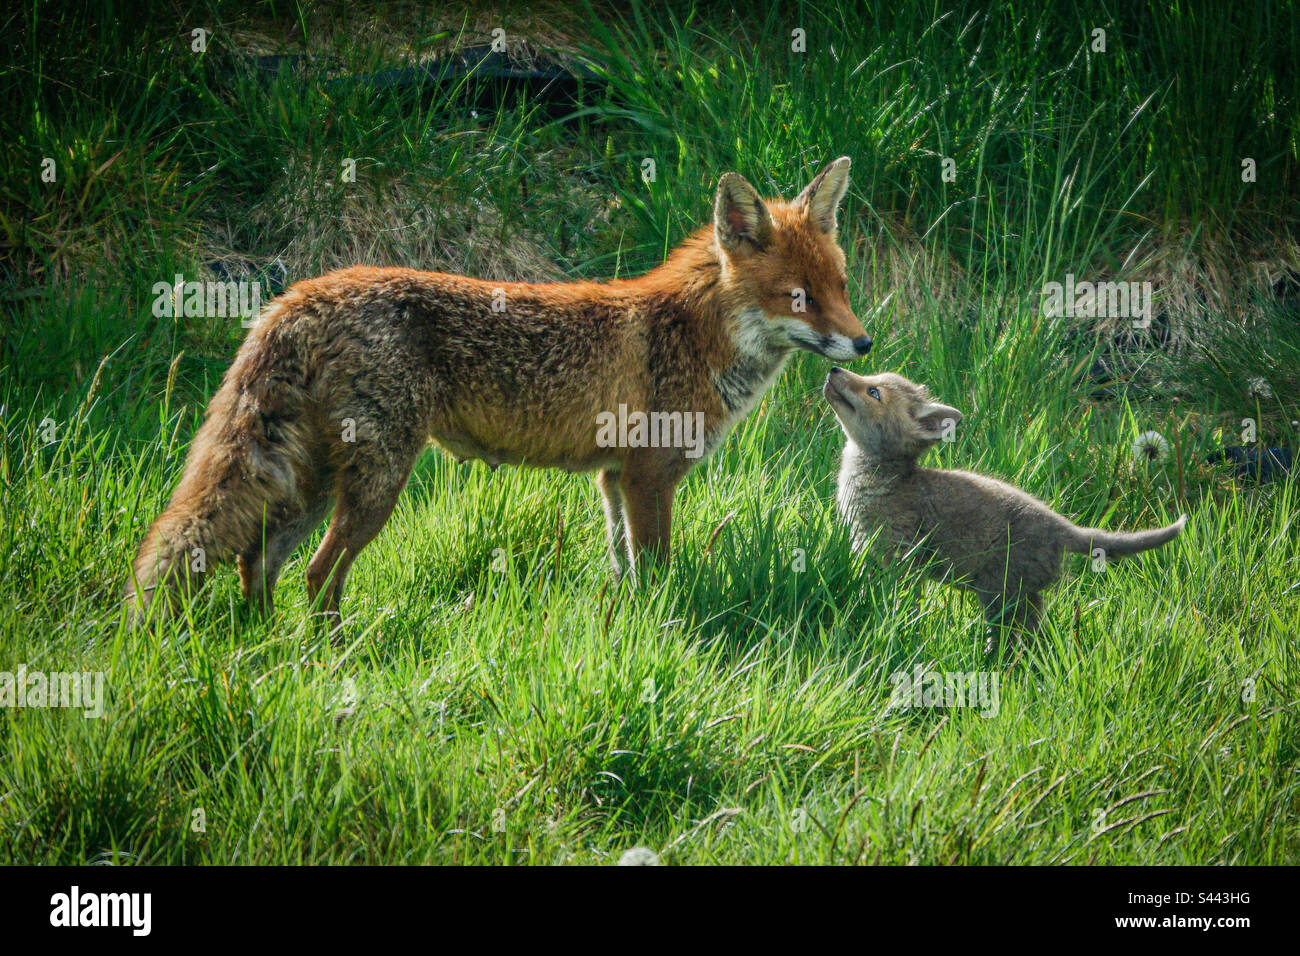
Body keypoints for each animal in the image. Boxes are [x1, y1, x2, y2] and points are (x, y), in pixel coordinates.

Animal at [129, 158, 873, 621]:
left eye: (840, 288)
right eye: (799, 298)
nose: (864, 345)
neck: (694, 335)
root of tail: (302, 294)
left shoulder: (613, 480)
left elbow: (625, 574)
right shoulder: (648, 478)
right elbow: (658, 576)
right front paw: (665, 632)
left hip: (315, 480)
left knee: (258, 563)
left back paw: (270, 653)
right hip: (378, 482)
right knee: (316, 576)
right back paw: (328, 660)